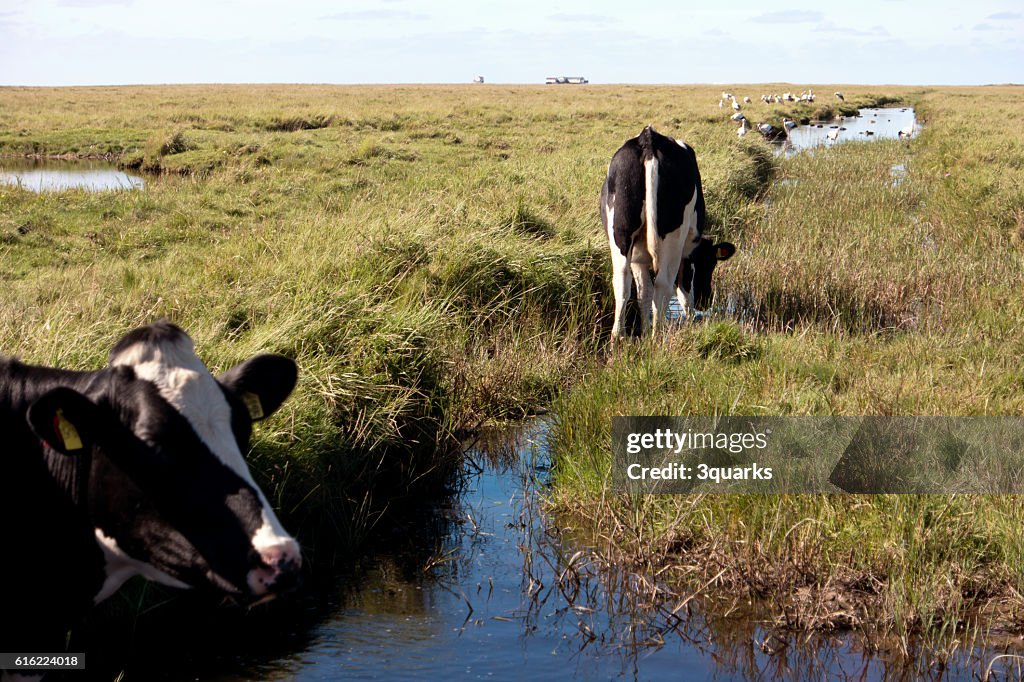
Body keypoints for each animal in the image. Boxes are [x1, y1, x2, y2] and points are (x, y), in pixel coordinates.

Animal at [598, 124, 737, 337]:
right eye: (710, 264)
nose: (706, 301)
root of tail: (648, 139)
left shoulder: (638, 257)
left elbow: (643, 291)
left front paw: (645, 330)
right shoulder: (687, 253)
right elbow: (684, 291)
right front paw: (689, 322)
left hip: (620, 234)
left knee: (622, 282)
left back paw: (618, 337)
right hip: (672, 238)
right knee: (663, 284)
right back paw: (658, 335)